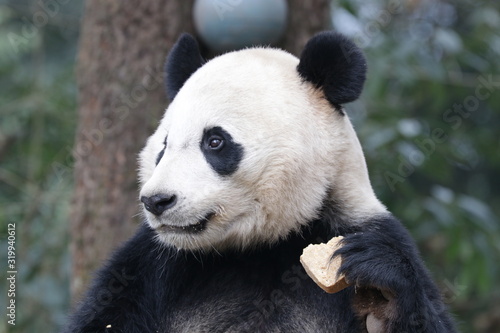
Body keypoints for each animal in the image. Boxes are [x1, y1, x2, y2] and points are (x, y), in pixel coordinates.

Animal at [62, 31, 458, 332]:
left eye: (215, 142)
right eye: (163, 146)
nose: (157, 201)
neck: (258, 246)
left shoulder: (362, 226)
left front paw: (379, 284)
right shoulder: (147, 267)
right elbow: (105, 316)